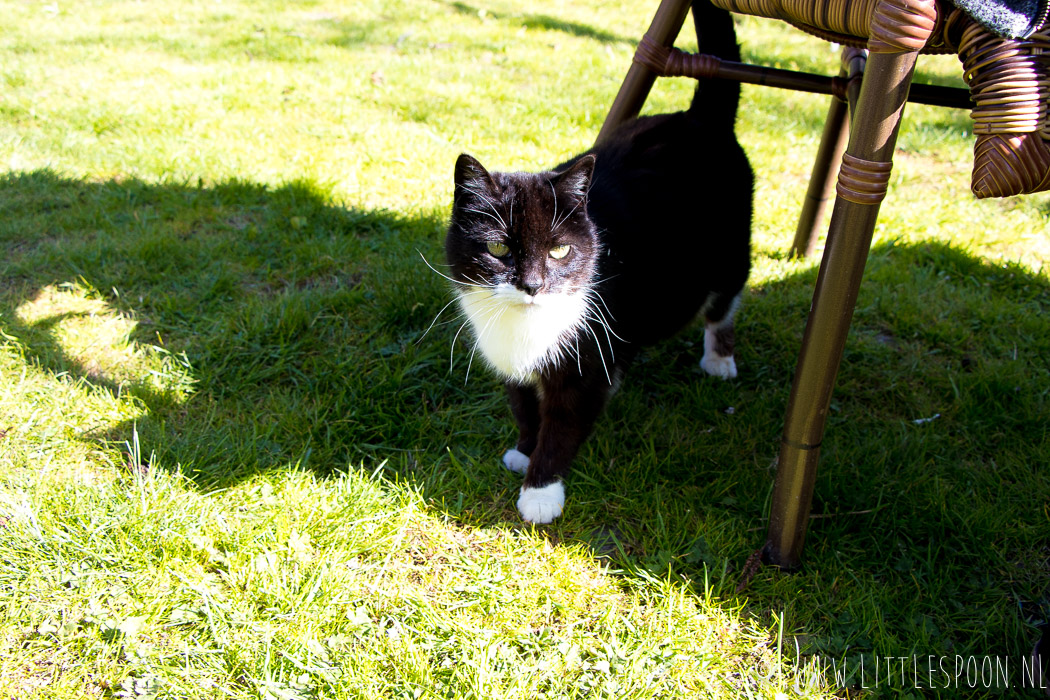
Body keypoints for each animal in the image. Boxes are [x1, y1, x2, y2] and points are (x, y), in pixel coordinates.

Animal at [438, 0, 751, 522]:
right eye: (499, 248)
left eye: (559, 250)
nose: (532, 285)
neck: (528, 325)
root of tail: (699, 117)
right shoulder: (510, 359)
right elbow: (524, 404)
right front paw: (522, 449)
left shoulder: (584, 364)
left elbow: (564, 423)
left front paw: (540, 492)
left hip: (730, 248)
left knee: (723, 298)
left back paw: (719, 357)